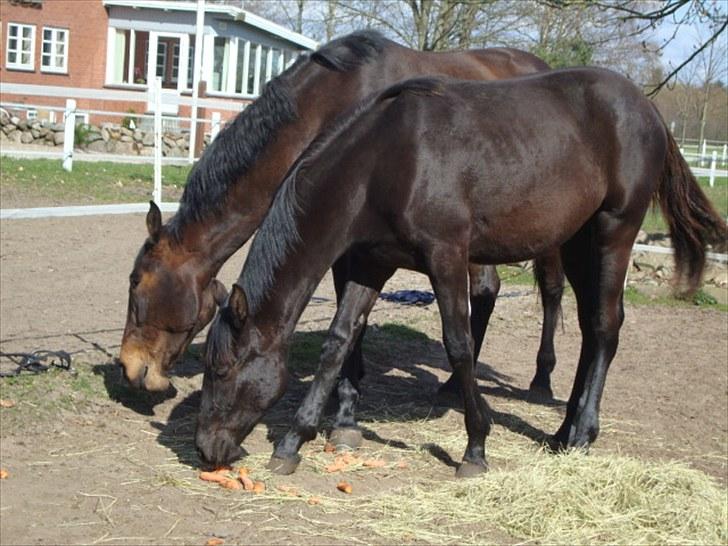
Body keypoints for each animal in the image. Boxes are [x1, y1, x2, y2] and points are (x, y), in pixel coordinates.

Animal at [119, 30, 564, 420]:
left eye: (136, 280)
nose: (129, 368)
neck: (330, 105)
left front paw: (346, 403)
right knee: (487, 290)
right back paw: (455, 384)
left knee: (551, 290)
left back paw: (541, 379)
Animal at [195, 70, 728, 474]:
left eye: (222, 369)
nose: (205, 449)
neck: (383, 162)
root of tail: (646, 108)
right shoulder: (372, 263)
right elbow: (338, 343)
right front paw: (293, 442)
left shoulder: (446, 256)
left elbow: (459, 344)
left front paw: (475, 447)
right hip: (578, 243)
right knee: (590, 328)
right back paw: (562, 431)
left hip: (613, 233)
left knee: (605, 326)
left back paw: (581, 433)